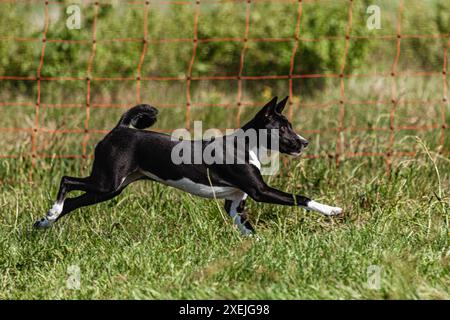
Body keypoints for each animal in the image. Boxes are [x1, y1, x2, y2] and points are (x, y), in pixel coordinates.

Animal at [34, 97, 342, 235]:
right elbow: (301, 197)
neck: (245, 146)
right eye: (282, 128)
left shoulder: (235, 203)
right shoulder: (260, 191)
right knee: (66, 180)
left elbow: (249, 230)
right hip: (107, 182)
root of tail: (121, 128)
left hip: (110, 189)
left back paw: (46, 220)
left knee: (73, 202)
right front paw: (332, 210)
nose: (304, 142)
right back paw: (53, 211)